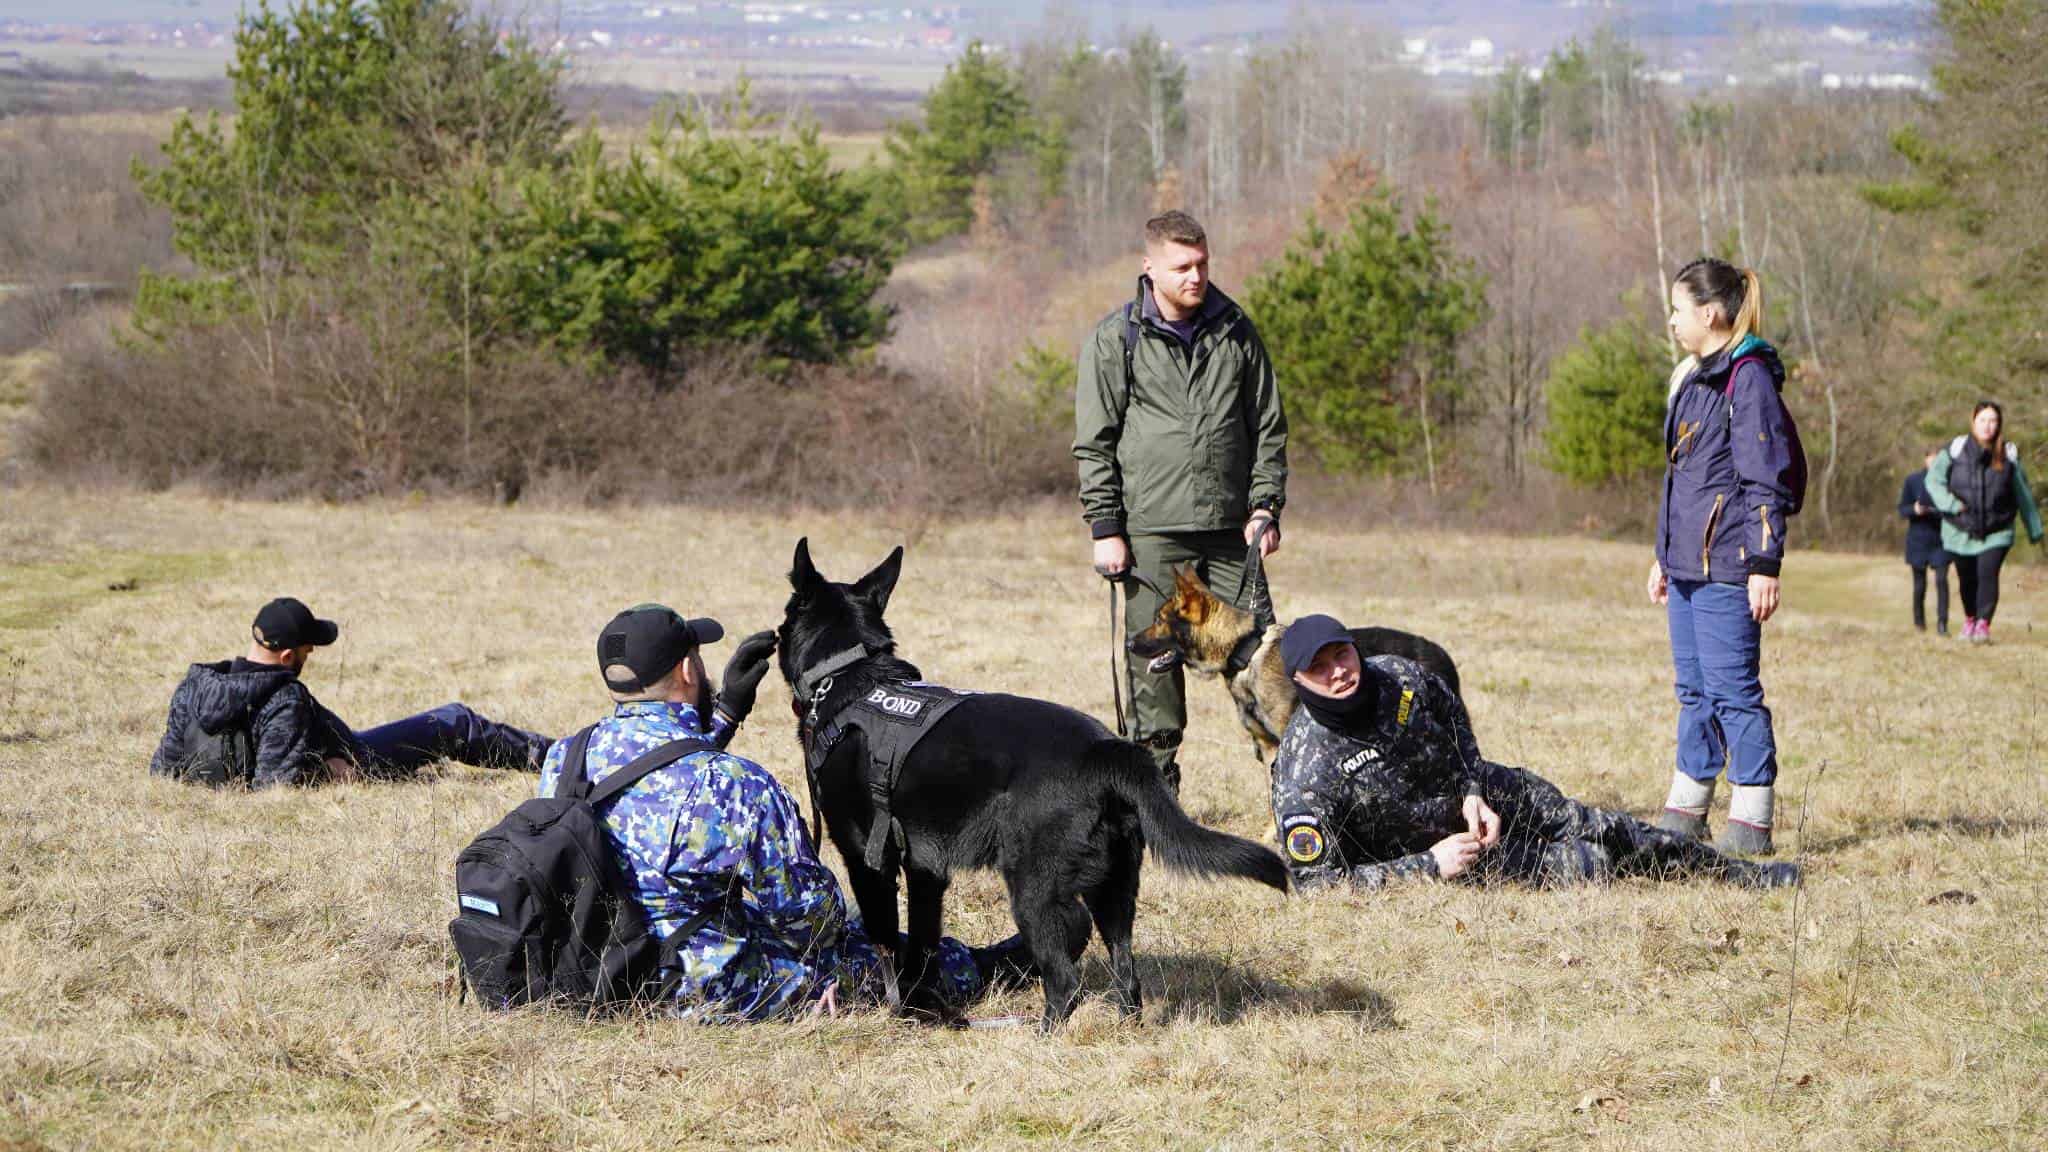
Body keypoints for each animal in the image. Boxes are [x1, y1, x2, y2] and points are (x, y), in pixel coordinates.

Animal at [774, 537, 1286, 1020]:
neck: (849, 673)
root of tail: (1108, 750)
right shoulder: (926, 870)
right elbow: (920, 946)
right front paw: (923, 1012)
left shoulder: (866, 859)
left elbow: (884, 940)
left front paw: (900, 1011)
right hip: (1115, 889)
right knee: (1126, 972)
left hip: (1033, 887)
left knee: (1065, 976)